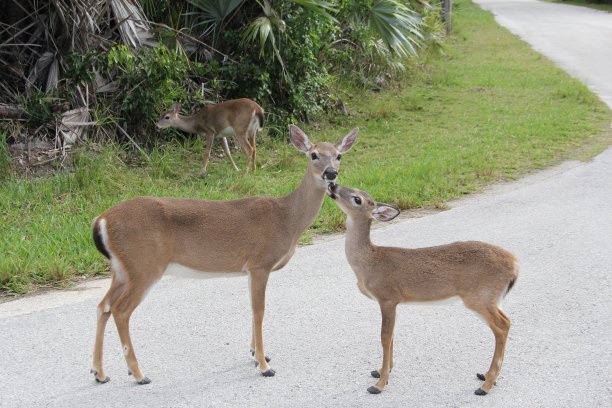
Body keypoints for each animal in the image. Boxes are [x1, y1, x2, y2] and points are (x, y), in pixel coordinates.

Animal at [89, 126, 358, 384]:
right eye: (313, 154)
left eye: (338, 155)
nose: (331, 173)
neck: (286, 218)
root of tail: (101, 220)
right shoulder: (260, 263)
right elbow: (259, 310)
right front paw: (264, 365)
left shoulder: (250, 269)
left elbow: (252, 309)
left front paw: (256, 353)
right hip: (144, 265)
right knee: (121, 310)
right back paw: (139, 374)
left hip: (122, 269)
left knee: (103, 306)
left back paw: (99, 373)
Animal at [328, 184, 520, 396]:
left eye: (357, 199)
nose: (332, 184)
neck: (368, 261)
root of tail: (514, 264)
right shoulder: (394, 302)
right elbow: (392, 334)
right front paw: (381, 371)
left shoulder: (387, 296)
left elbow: (385, 336)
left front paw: (379, 384)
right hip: (491, 298)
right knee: (506, 321)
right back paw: (486, 376)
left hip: (479, 296)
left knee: (502, 326)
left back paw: (486, 385)